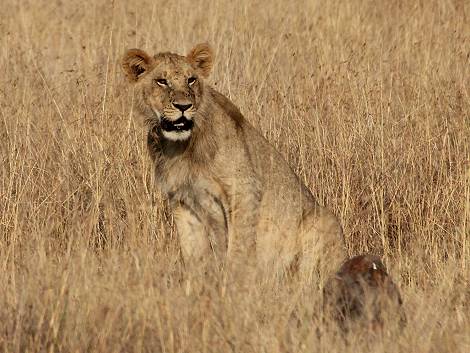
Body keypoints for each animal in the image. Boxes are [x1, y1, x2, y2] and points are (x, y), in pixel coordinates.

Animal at [122, 42, 346, 278]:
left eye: (191, 79)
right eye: (161, 81)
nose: (183, 106)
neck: (179, 146)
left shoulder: (244, 189)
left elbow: (239, 246)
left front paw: (234, 281)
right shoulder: (182, 200)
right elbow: (192, 252)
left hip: (324, 219)